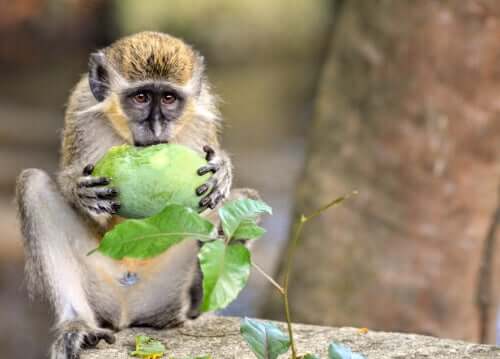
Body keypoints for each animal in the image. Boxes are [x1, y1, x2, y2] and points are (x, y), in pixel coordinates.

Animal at [15, 31, 258, 359]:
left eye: (168, 98)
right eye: (141, 97)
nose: (155, 126)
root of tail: (128, 313)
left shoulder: (203, 112)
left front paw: (222, 168)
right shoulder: (80, 106)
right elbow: (64, 178)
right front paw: (80, 190)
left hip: (164, 293)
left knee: (244, 202)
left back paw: (196, 299)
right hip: (101, 285)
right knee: (33, 184)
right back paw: (77, 325)